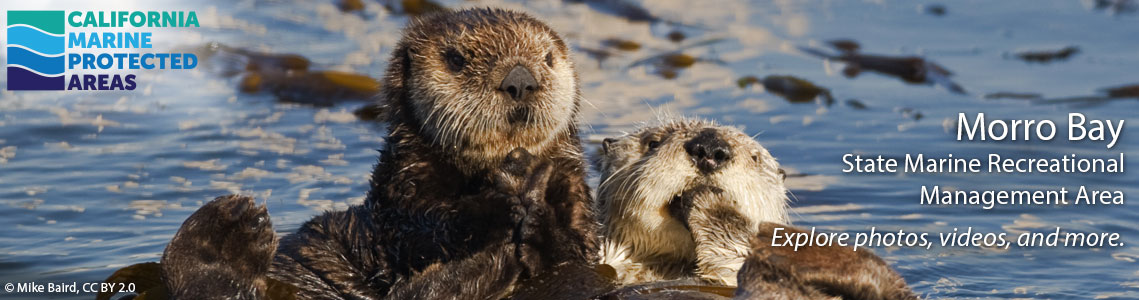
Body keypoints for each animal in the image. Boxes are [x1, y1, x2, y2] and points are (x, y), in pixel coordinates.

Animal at [161, 7, 601, 300]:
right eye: (456, 59)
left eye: (548, 58)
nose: (520, 81)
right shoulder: (400, 199)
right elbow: (425, 228)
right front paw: (498, 204)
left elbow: (576, 246)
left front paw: (540, 189)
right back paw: (230, 227)